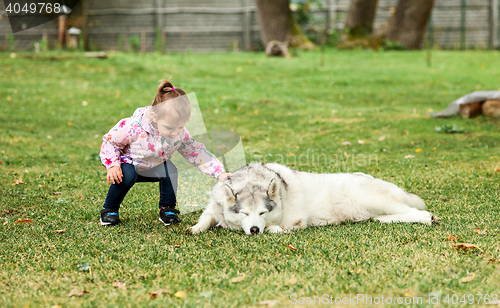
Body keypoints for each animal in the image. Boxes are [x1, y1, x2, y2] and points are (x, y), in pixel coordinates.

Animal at [189, 161, 440, 236]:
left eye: (262, 212)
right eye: (243, 213)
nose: (254, 230)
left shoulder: (295, 222)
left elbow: (277, 228)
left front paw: (273, 229)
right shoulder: (215, 205)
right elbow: (206, 217)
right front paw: (195, 228)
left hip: (373, 200)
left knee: (418, 212)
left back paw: (429, 218)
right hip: (376, 212)